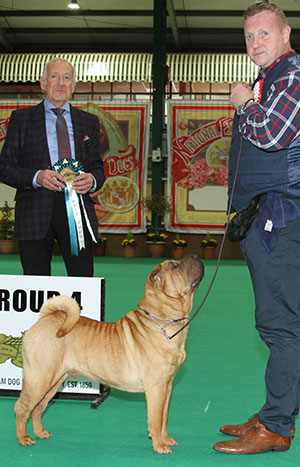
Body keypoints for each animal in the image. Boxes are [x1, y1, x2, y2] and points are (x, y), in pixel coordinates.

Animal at [15, 254, 205, 456]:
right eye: (176, 266)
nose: (194, 255)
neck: (163, 321)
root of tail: (44, 319)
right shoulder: (156, 388)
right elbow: (155, 419)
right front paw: (159, 446)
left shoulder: (167, 387)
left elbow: (164, 416)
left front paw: (165, 439)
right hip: (40, 378)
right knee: (22, 407)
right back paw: (23, 438)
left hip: (54, 381)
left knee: (38, 407)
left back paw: (40, 432)